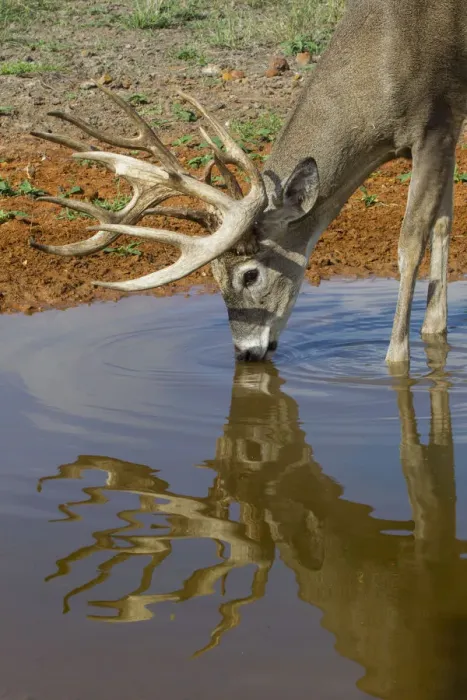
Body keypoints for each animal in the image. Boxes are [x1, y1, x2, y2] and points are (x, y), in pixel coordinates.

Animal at [31, 0, 467, 364]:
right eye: (213, 276)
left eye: (250, 274)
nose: (245, 352)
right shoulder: (447, 129)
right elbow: (443, 224)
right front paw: (435, 334)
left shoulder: (435, 123)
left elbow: (411, 242)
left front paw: (397, 358)